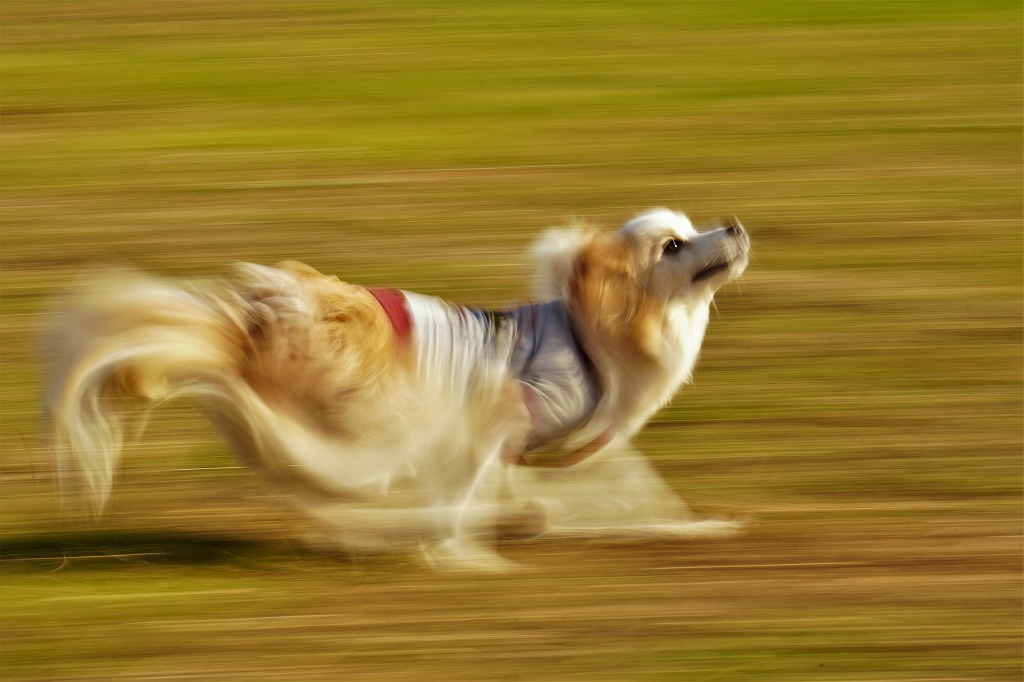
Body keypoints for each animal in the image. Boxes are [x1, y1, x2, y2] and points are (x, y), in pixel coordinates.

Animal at [44, 208, 750, 569]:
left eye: (694, 225)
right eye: (675, 245)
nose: (737, 224)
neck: (589, 333)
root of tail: (252, 323)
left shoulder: (557, 445)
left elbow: (636, 492)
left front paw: (698, 527)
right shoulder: (493, 419)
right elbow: (466, 500)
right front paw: (466, 553)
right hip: (384, 430)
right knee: (329, 479)